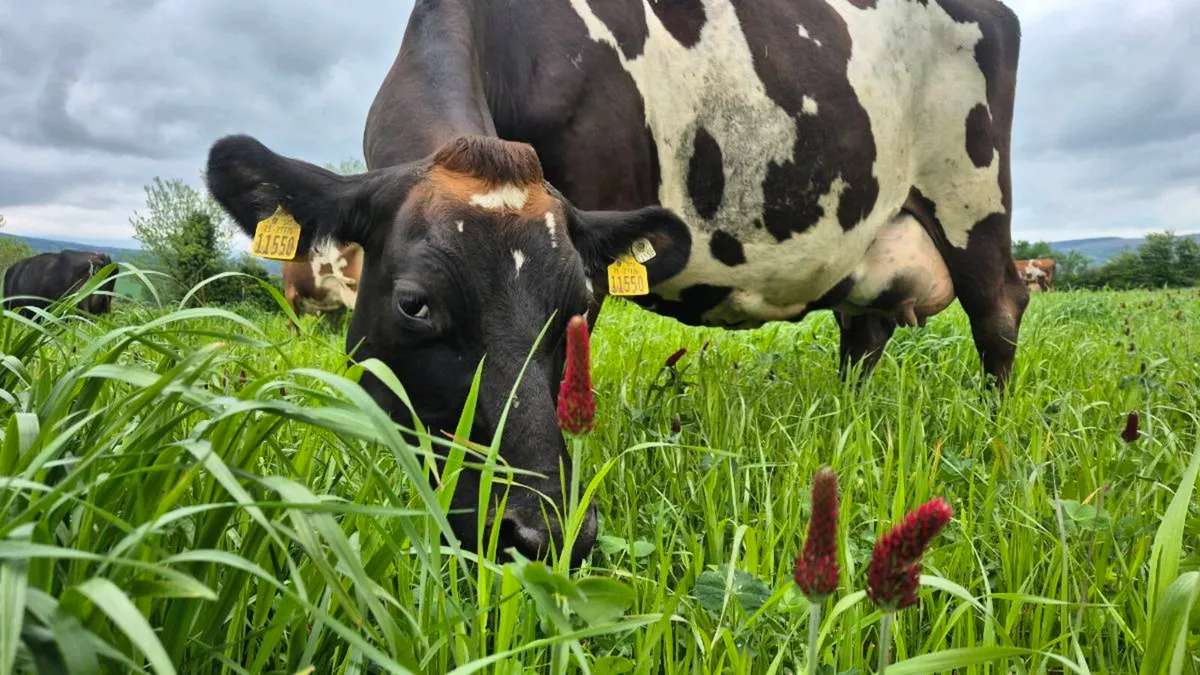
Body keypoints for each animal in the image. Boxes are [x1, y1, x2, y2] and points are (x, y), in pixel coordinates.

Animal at [204, 0, 1025, 567]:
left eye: (581, 304)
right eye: (414, 304)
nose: (539, 534)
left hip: (972, 196)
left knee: (999, 311)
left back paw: (995, 435)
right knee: (864, 333)